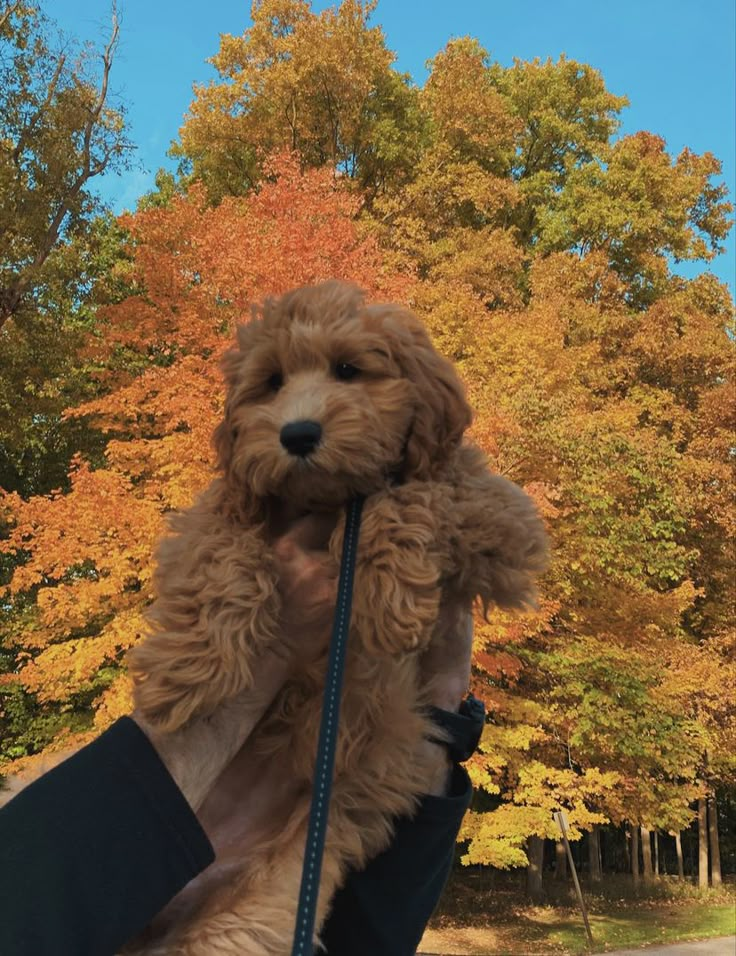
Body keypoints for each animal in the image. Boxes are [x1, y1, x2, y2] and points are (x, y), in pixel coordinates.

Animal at [123, 280, 548, 952]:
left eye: (349, 370)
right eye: (271, 382)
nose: (297, 434)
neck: (326, 501)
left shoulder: (504, 519)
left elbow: (413, 493)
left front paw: (389, 595)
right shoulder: (221, 509)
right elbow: (223, 551)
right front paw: (187, 671)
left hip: (264, 907)